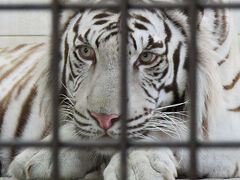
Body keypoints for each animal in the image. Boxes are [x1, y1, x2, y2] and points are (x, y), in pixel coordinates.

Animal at [0, 0, 240, 179]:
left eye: (146, 56)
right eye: (86, 52)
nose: (104, 119)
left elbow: (170, 127)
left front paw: (140, 166)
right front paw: (38, 157)